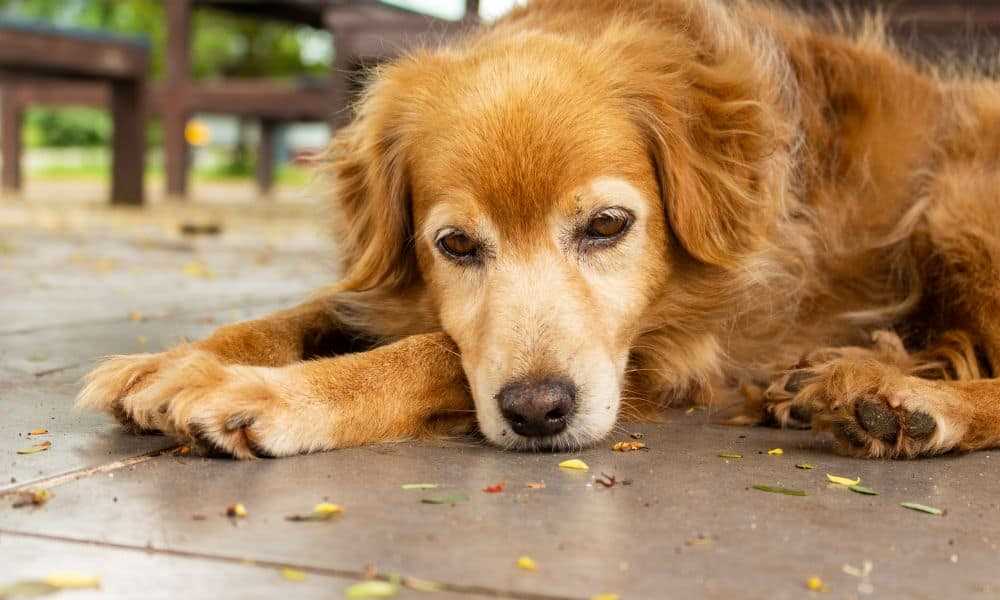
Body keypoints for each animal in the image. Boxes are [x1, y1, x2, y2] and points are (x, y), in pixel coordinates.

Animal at [80, 0, 1000, 460]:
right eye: (455, 245)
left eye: (607, 225)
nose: (537, 414)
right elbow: (310, 313)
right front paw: (174, 362)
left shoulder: (677, 349)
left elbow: (432, 354)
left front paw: (264, 395)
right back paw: (835, 376)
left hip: (956, 203)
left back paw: (909, 406)